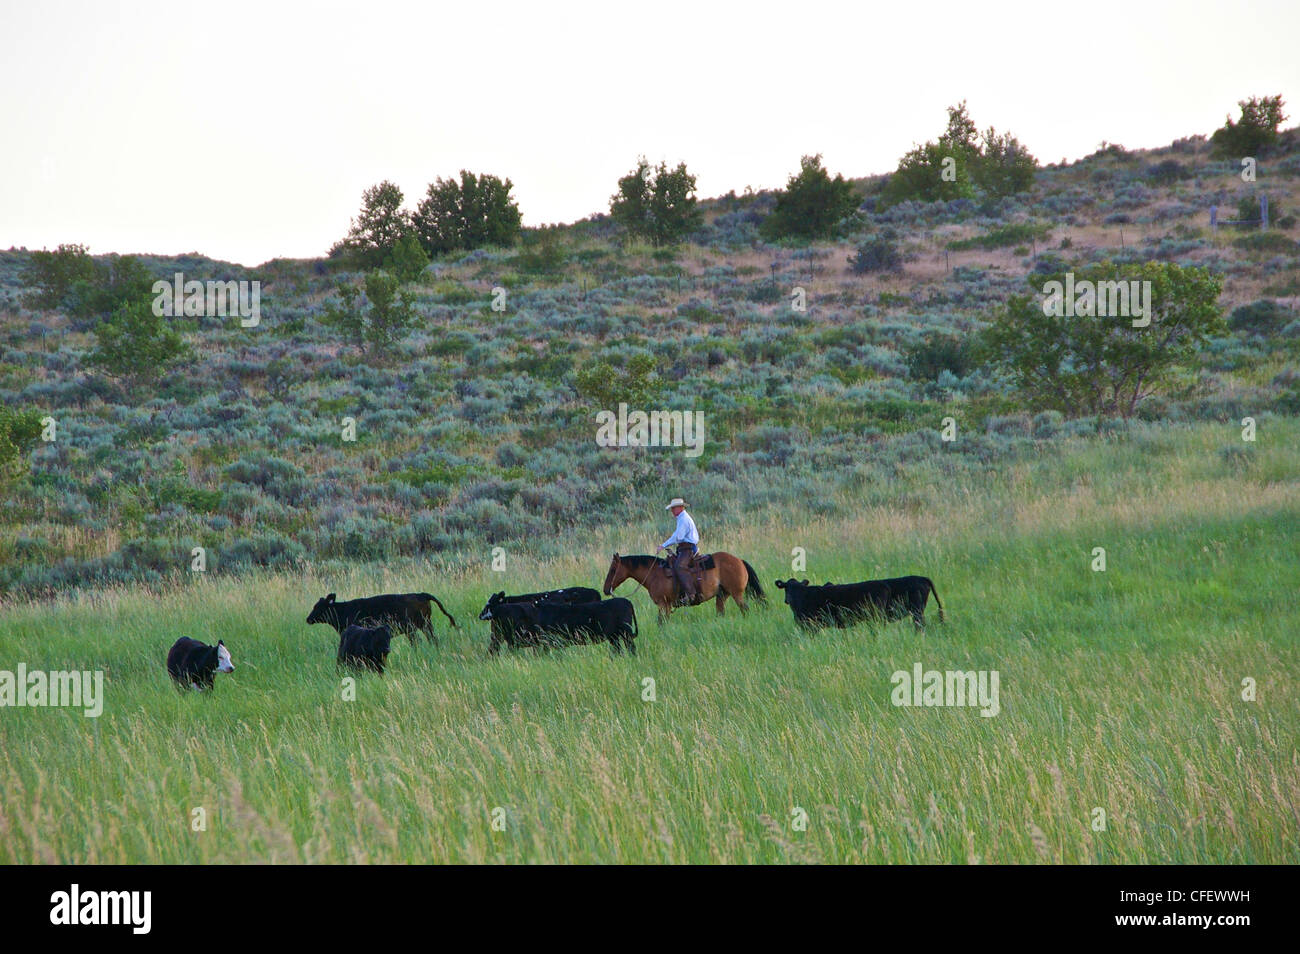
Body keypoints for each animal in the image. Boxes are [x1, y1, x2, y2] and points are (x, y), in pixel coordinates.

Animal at [306, 591, 456, 646]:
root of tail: (421, 594)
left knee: (417, 641)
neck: (344, 611)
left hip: (412, 627)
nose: (308, 619)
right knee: (432, 638)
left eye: (318, 607)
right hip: (425, 624)